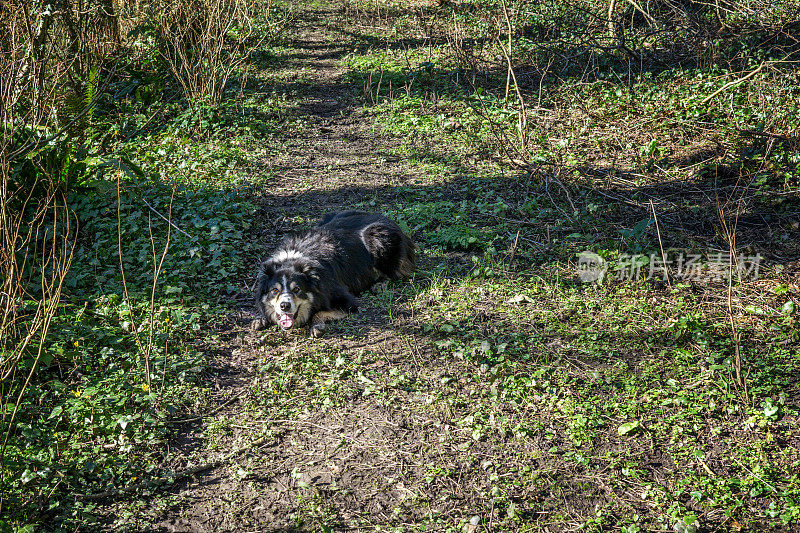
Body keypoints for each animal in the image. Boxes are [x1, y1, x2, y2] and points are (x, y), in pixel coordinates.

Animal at [253, 209, 416, 336]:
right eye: (274, 290)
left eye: (297, 289)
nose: (284, 306)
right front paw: (260, 319)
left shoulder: (344, 299)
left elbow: (319, 312)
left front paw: (317, 326)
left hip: (378, 238)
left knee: (397, 272)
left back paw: (380, 284)